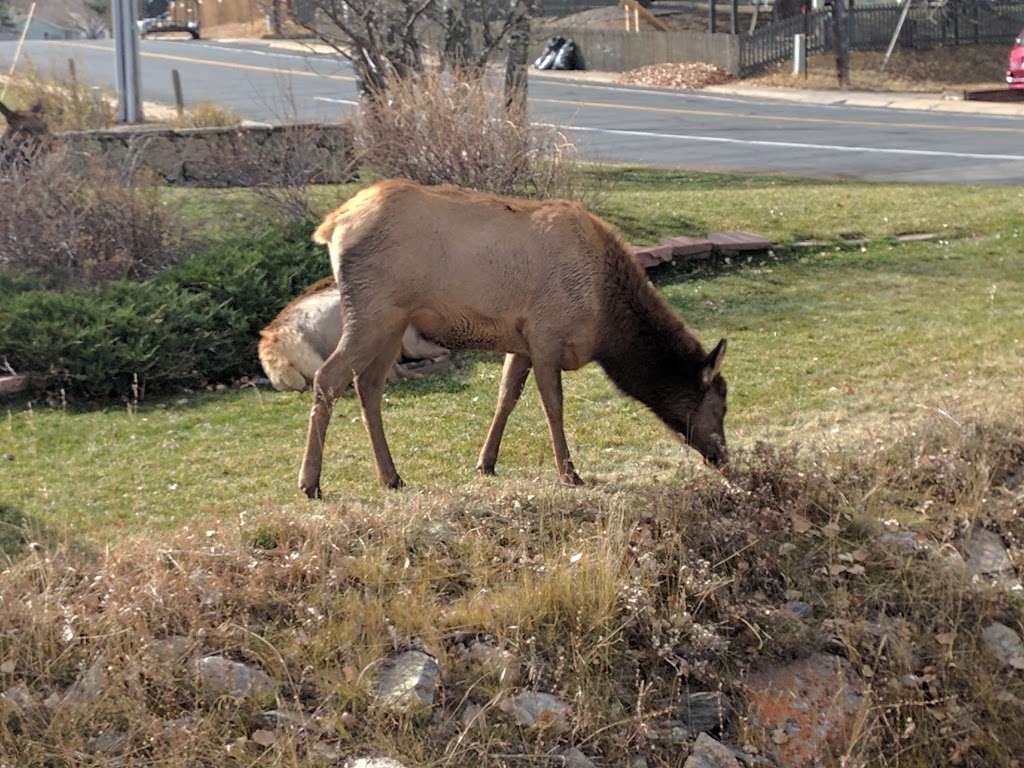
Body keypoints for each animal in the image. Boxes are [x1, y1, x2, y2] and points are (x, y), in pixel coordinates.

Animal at [296, 179, 729, 499]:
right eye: (720, 406)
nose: (724, 459)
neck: (605, 324)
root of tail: (332, 226)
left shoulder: (521, 342)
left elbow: (506, 397)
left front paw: (486, 463)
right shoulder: (546, 333)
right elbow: (553, 405)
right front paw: (569, 473)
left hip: (393, 322)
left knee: (367, 385)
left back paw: (391, 476)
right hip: (372, 310)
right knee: (328, 378)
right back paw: (311, 483)